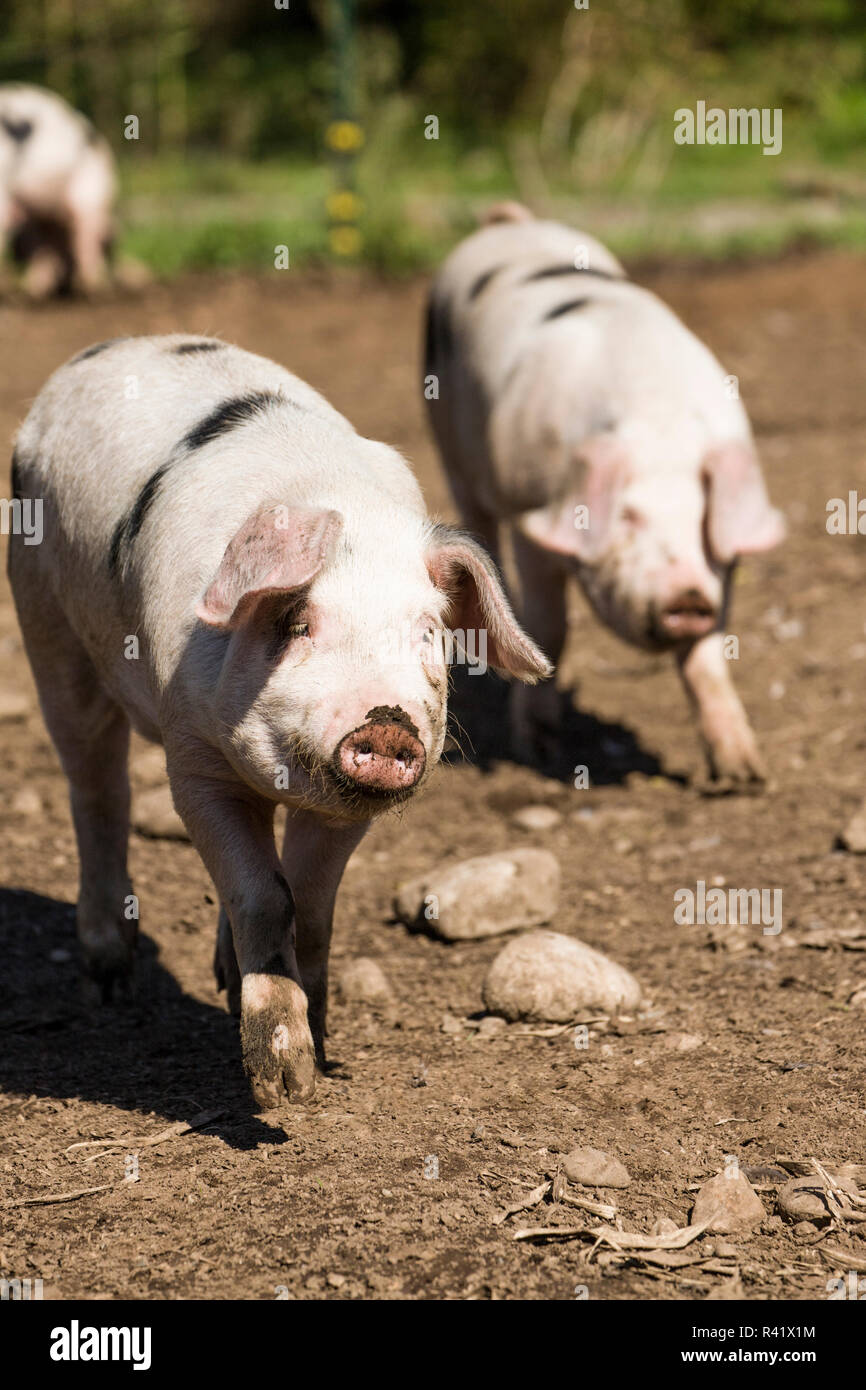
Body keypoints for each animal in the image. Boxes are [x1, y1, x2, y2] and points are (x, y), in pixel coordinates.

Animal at [0, 83, 116, 296]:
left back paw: (90, 289)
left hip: (91, 194)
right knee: (50, 247)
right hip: (47, 210)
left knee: (85, 239)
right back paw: (38, 290)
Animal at [8, 333, 547, 1106]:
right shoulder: (193, 763)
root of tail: (111, 348)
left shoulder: (345, 812)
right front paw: (283, 1086)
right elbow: (265, 896)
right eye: (298, 624)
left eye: (426, 632)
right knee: (96, 788)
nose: (387, 722)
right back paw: (110, 979)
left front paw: (317, 1051)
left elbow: (312, 905)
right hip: (45, 625)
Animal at [422, 207, 789, 795]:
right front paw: (539, 748)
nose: (689, 598)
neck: (660, 427)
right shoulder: (534, 515)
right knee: (479, 525)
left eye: (704, 522)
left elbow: (708, 657)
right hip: (450, 445)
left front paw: (743, 777)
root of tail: (509, 220)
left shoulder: (725, 563)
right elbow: (551, 626)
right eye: (628, 517)